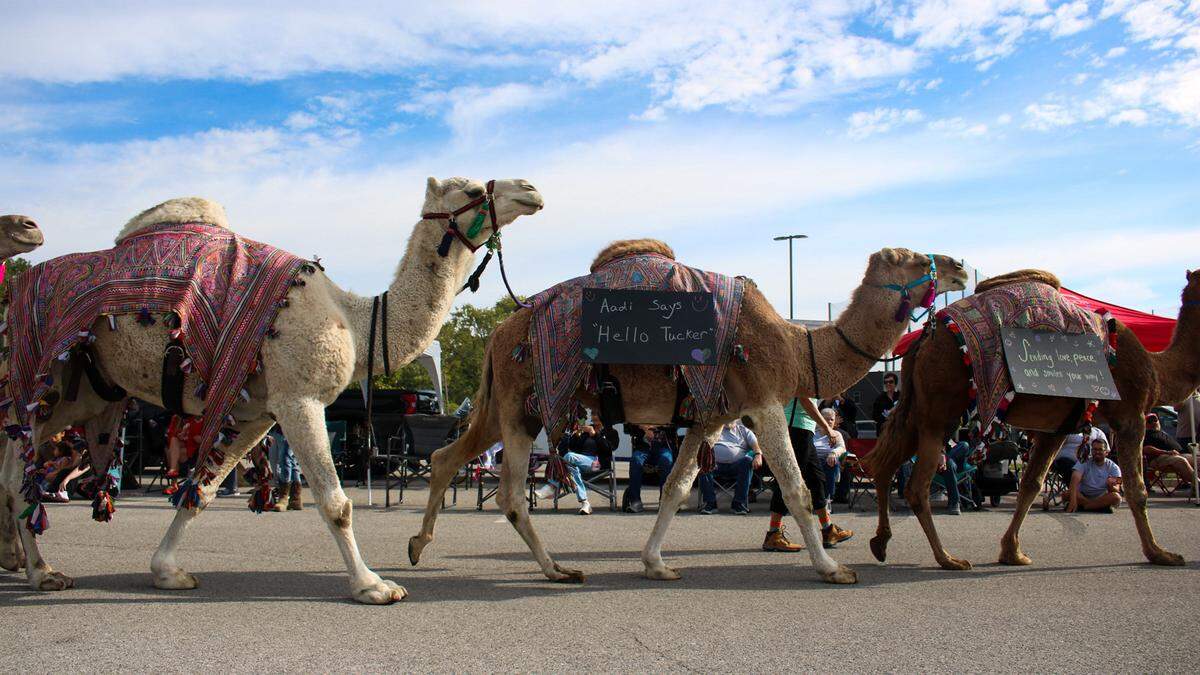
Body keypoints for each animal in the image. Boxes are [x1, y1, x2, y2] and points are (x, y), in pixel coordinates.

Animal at [0, 176, 543, 604]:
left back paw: (28, 565)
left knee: (18, 470)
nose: (532, 189)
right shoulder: (299, 398)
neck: (355, 318)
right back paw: (43, 571)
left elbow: (202, 490)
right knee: (17, 474)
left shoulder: (259, 413)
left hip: (85, 391)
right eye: (470, 190)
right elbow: (337, 502)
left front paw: (167, 571)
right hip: (37, 379)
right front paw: (372, 585)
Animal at [408, 242, 968, 585]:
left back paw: (418, 544)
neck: (797, 344)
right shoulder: (764, 398)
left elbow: (677, 488)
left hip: (503, 402)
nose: (960, 264)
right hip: (522, 398)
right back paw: (556, 570)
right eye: (910, 258)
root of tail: (498, 333)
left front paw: (656, 564)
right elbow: (797, 489)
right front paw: (833, 568)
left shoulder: (710, 415)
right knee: (507, 492)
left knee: (445, 457)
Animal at [865, 269, 1200, 571]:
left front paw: (1012, 551)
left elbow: (1031, 482)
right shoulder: (1131, 414)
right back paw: (947, 558)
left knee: (883, 465)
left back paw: (881, 543)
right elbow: (1137, 489)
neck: (1156, 371)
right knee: (916, 485)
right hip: (940, 412)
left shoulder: (1060, 425)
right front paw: (1161, 554)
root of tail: (924, 339)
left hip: (918, 409)